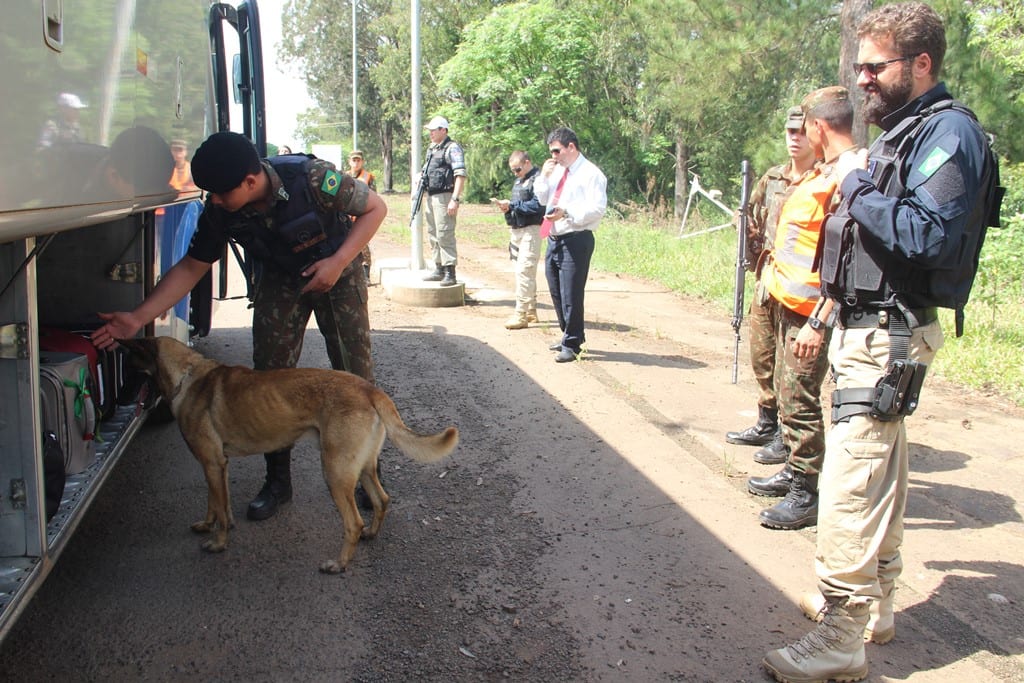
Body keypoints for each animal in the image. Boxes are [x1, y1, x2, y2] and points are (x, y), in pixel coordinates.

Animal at [117, 335, 458, 573]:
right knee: (381, 499)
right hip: (362, 468)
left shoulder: (211, 463)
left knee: (353, 522)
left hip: (335, 472)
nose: (116, 400)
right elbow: (217, 504)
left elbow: (219, 509)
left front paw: (218, 543)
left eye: (129, 370)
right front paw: (209, 524)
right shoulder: (218, 466)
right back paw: (372, 534)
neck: (187, 376)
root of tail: (369, 389)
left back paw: (339, 564)